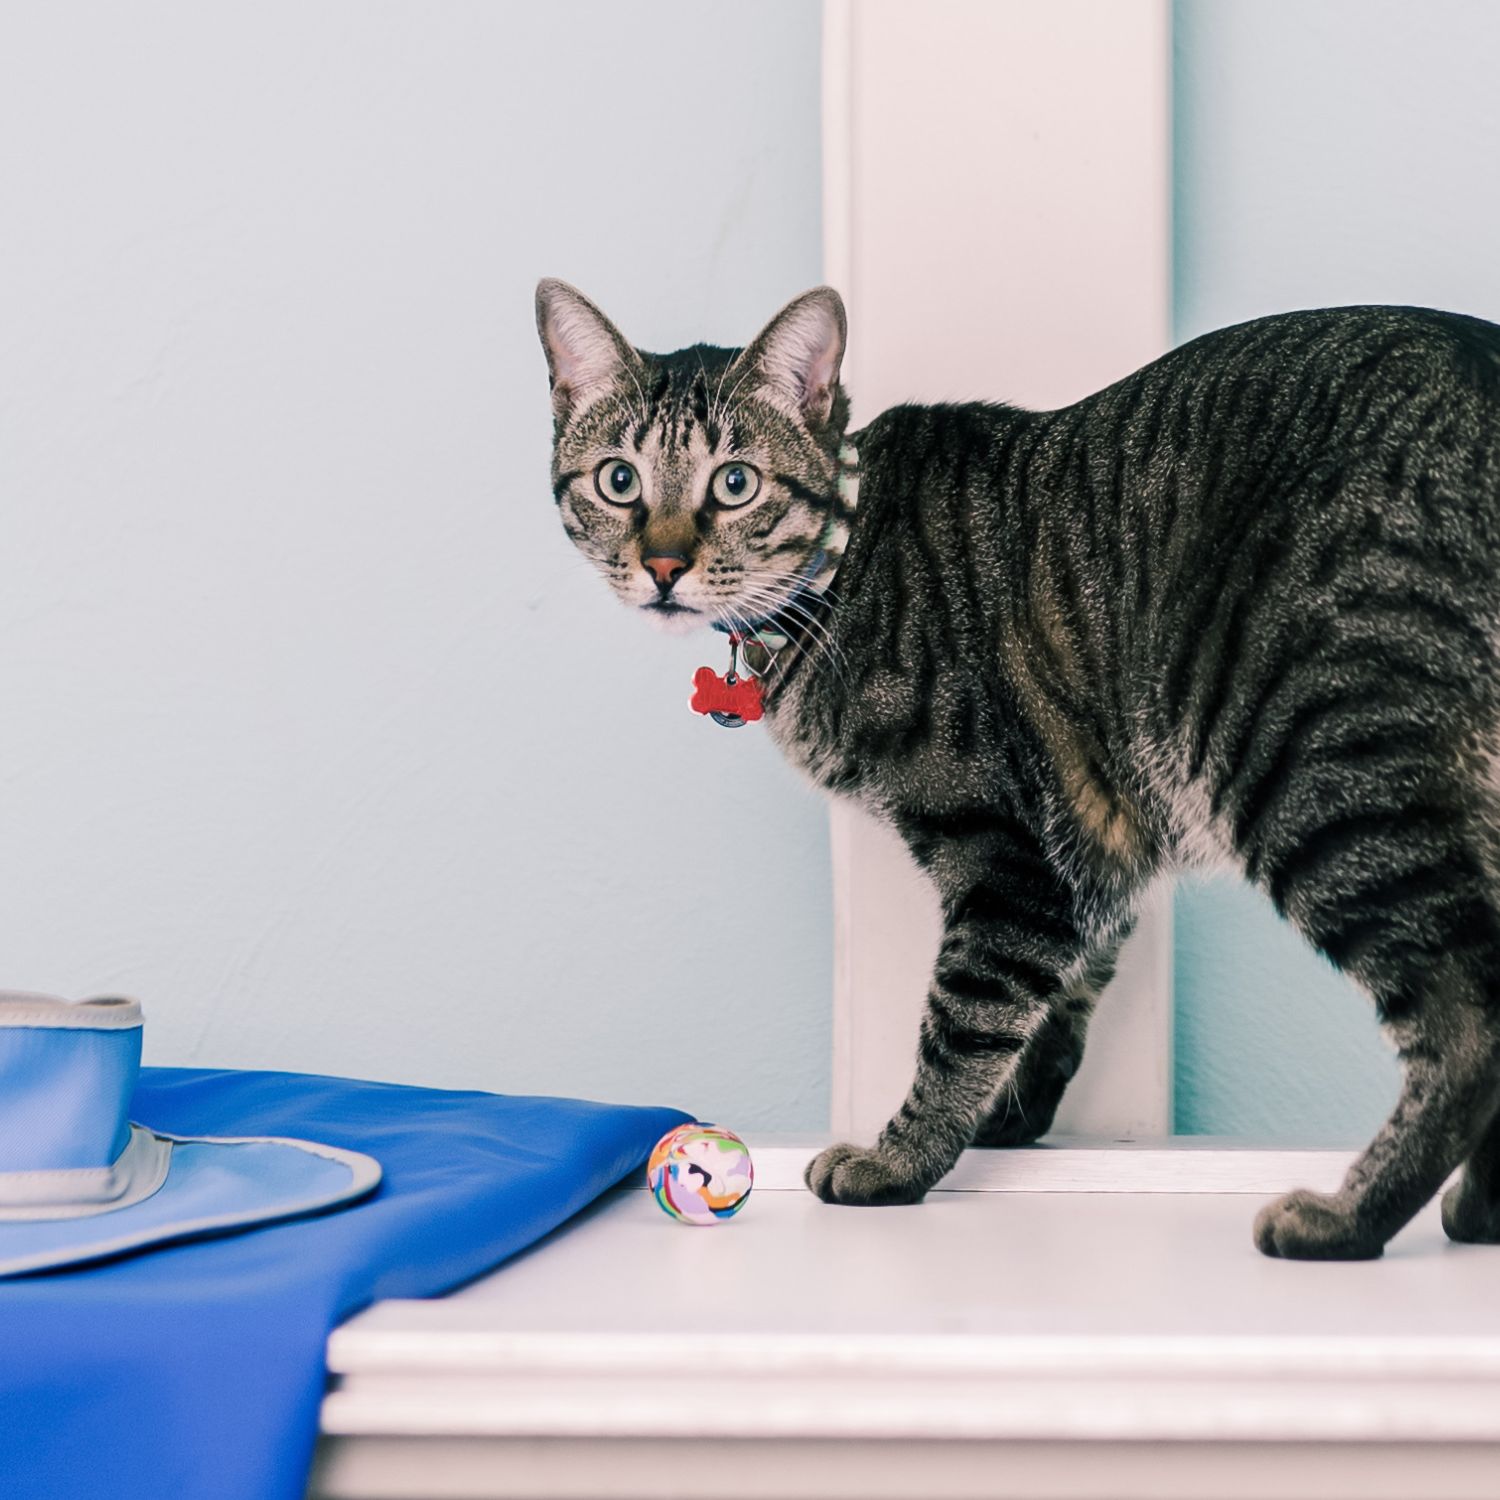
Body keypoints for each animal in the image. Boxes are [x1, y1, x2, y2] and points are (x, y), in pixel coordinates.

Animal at [534, 276, 1494, 1260]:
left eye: (734, 484)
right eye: (618, 481)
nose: (662, 564)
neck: (840, 564)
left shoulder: (1007, 854)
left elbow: (965, 1016)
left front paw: (902, 1157)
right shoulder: (1098, 848)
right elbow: (1060, 997)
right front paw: (1011, 1114)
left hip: (1314, 763)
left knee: (1468, 1021)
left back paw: (1350, 1219)